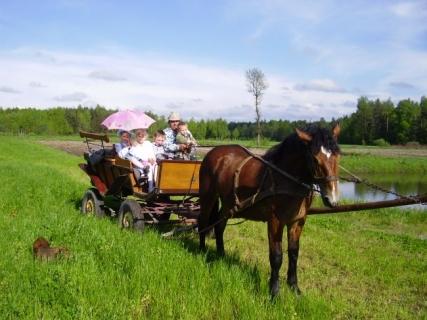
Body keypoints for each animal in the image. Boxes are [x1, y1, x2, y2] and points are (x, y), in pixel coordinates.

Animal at [197, 124, 342, 298]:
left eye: (338, 156)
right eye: (315, 159)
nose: (332, 199)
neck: (286, 179)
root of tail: (213, 152)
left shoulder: (297, 221)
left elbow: (294, 253)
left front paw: (294, 287)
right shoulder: (275, 221)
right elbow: (276, 257)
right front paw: (274, 292)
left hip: (227, 203)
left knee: (219, 226)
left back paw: (221, 255)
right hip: (208, 196)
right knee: (202, 222)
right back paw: (201, 250)